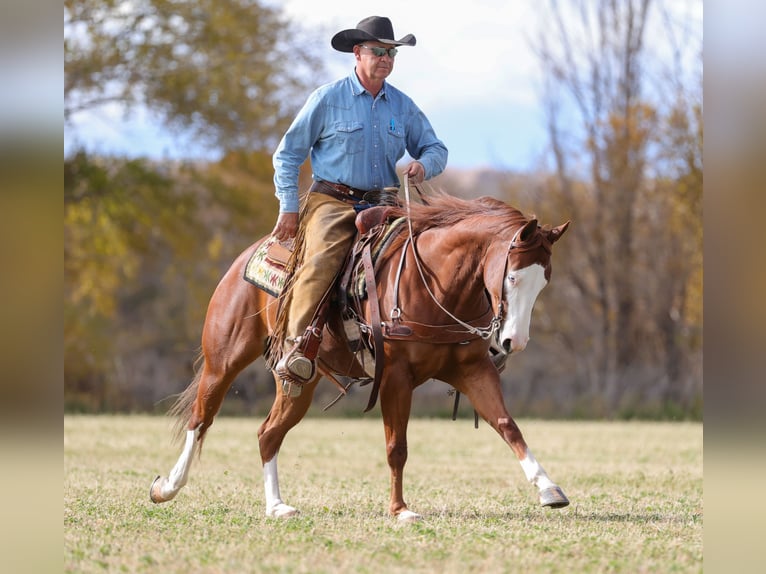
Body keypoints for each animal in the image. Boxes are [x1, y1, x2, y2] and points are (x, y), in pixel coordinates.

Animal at [150, 190, 570, 522]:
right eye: (513, 276)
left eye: (544, 282)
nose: (515, 341)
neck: (437, 284)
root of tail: (250, 254)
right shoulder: (396, 377)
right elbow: (397, 446)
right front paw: (400, 510)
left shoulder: (473, 370)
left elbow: (507, 425)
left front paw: (549, 488)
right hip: (223, 360)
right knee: (201, 418)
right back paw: (167, 487)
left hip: (299, 381)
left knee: (268, 433)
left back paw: (277, 506)